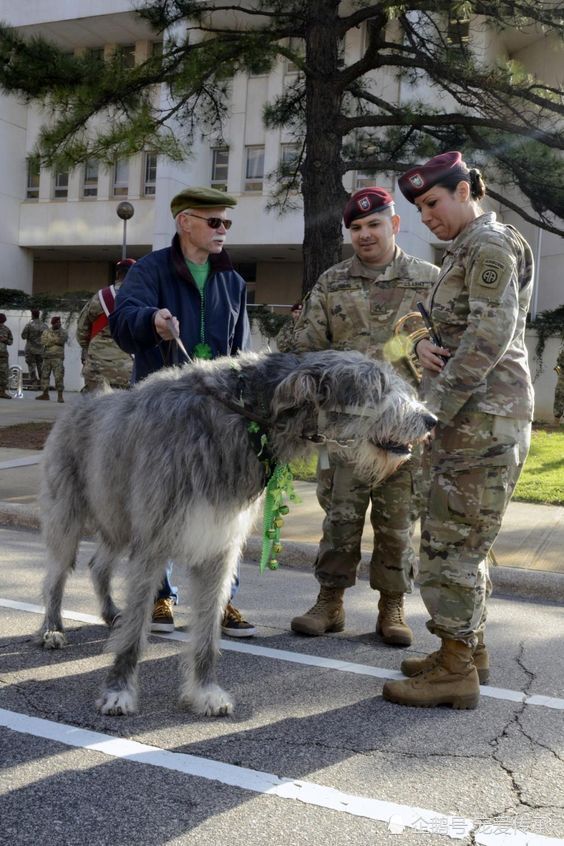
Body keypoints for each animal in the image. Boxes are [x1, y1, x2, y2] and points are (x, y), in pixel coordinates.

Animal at [38, 348, 436, 720]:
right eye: (377, 387)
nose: (430, 420)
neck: (241, 417)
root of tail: (82, 401)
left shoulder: (220, 546)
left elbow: (207, 631)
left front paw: (205, 691)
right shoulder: (152, 542)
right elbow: (136, 630)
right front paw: (119, 691)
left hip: (116, 519)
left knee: (97, 564)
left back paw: (109, 613)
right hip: (69, 515)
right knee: (57, 573)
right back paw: (52, 628)